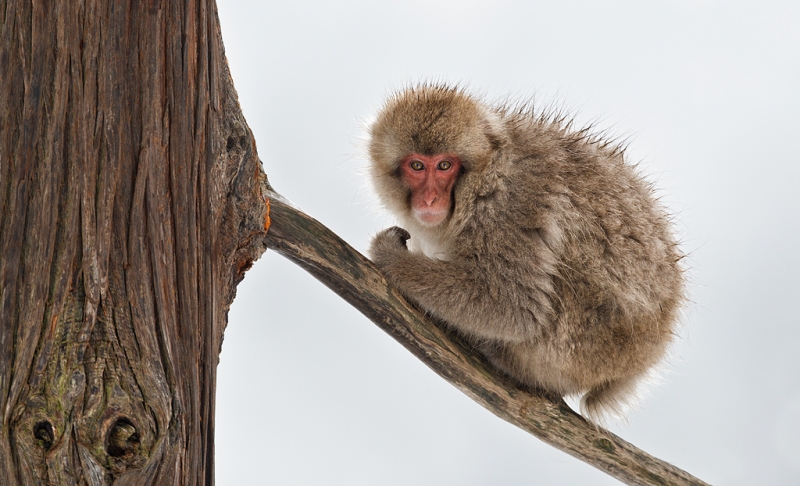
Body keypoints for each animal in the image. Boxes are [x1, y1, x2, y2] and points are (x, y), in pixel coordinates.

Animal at [368, 83, 688, 422]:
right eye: (417, 166)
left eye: (444, 165)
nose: (429, 199)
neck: (485, 173)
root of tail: (640, 363)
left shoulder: (510, 204)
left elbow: (515, 308)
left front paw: (390, 257)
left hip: (585, 346)